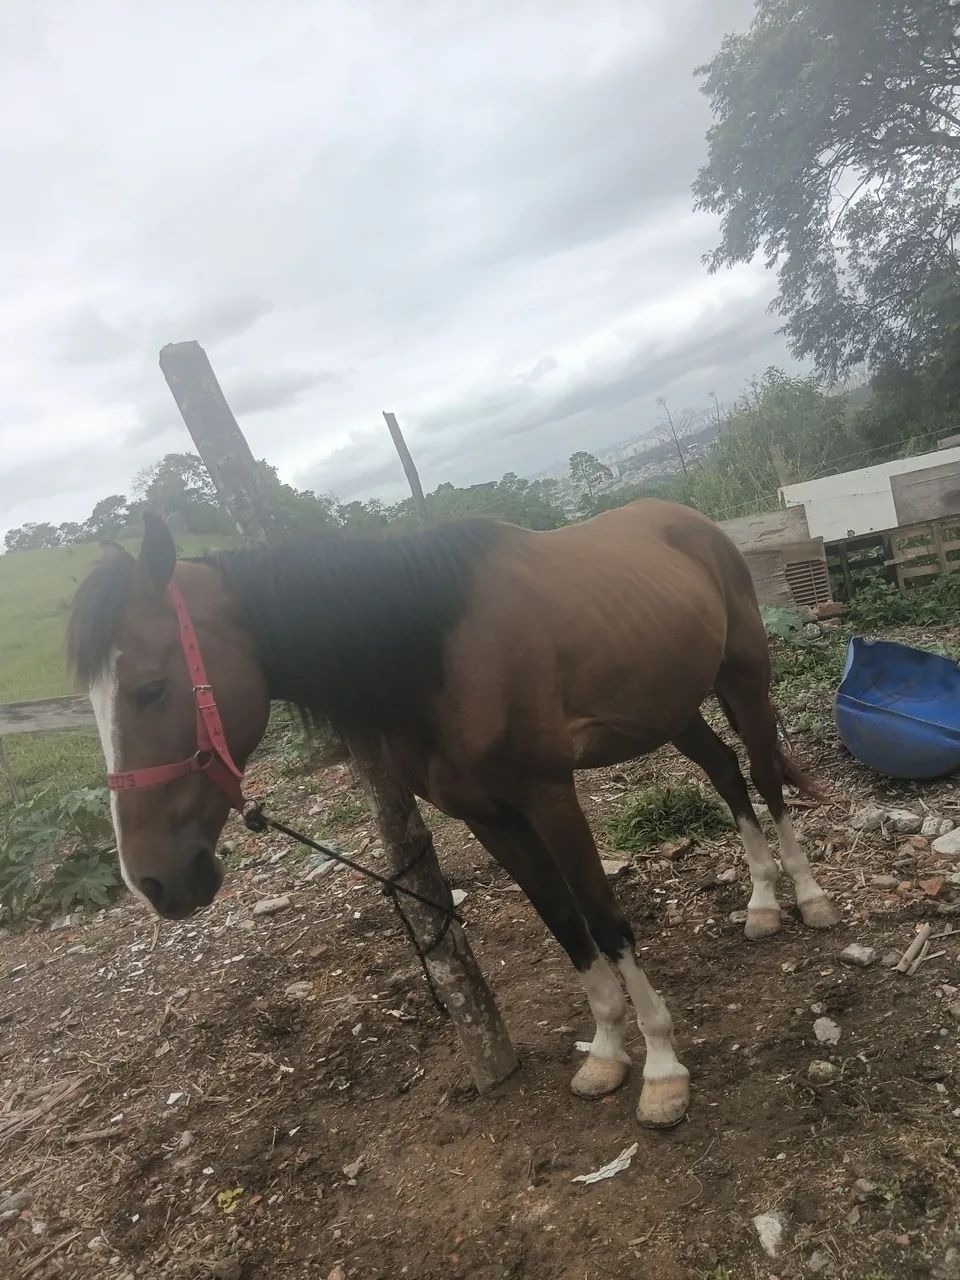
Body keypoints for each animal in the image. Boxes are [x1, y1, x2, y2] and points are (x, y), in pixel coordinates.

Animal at [67, 501, 838, 1129]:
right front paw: (605, 1052)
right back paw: (762, 902)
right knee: (725, 774)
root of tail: (693, 522)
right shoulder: (489, 818)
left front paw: (662, 1068)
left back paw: (807, 896)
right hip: (671, 708)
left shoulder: (549, 797)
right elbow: (565, 924)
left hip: (742, 679)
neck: (439, 651)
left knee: (765, 778)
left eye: (150, 688)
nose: (155, 882)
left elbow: (605, 920)